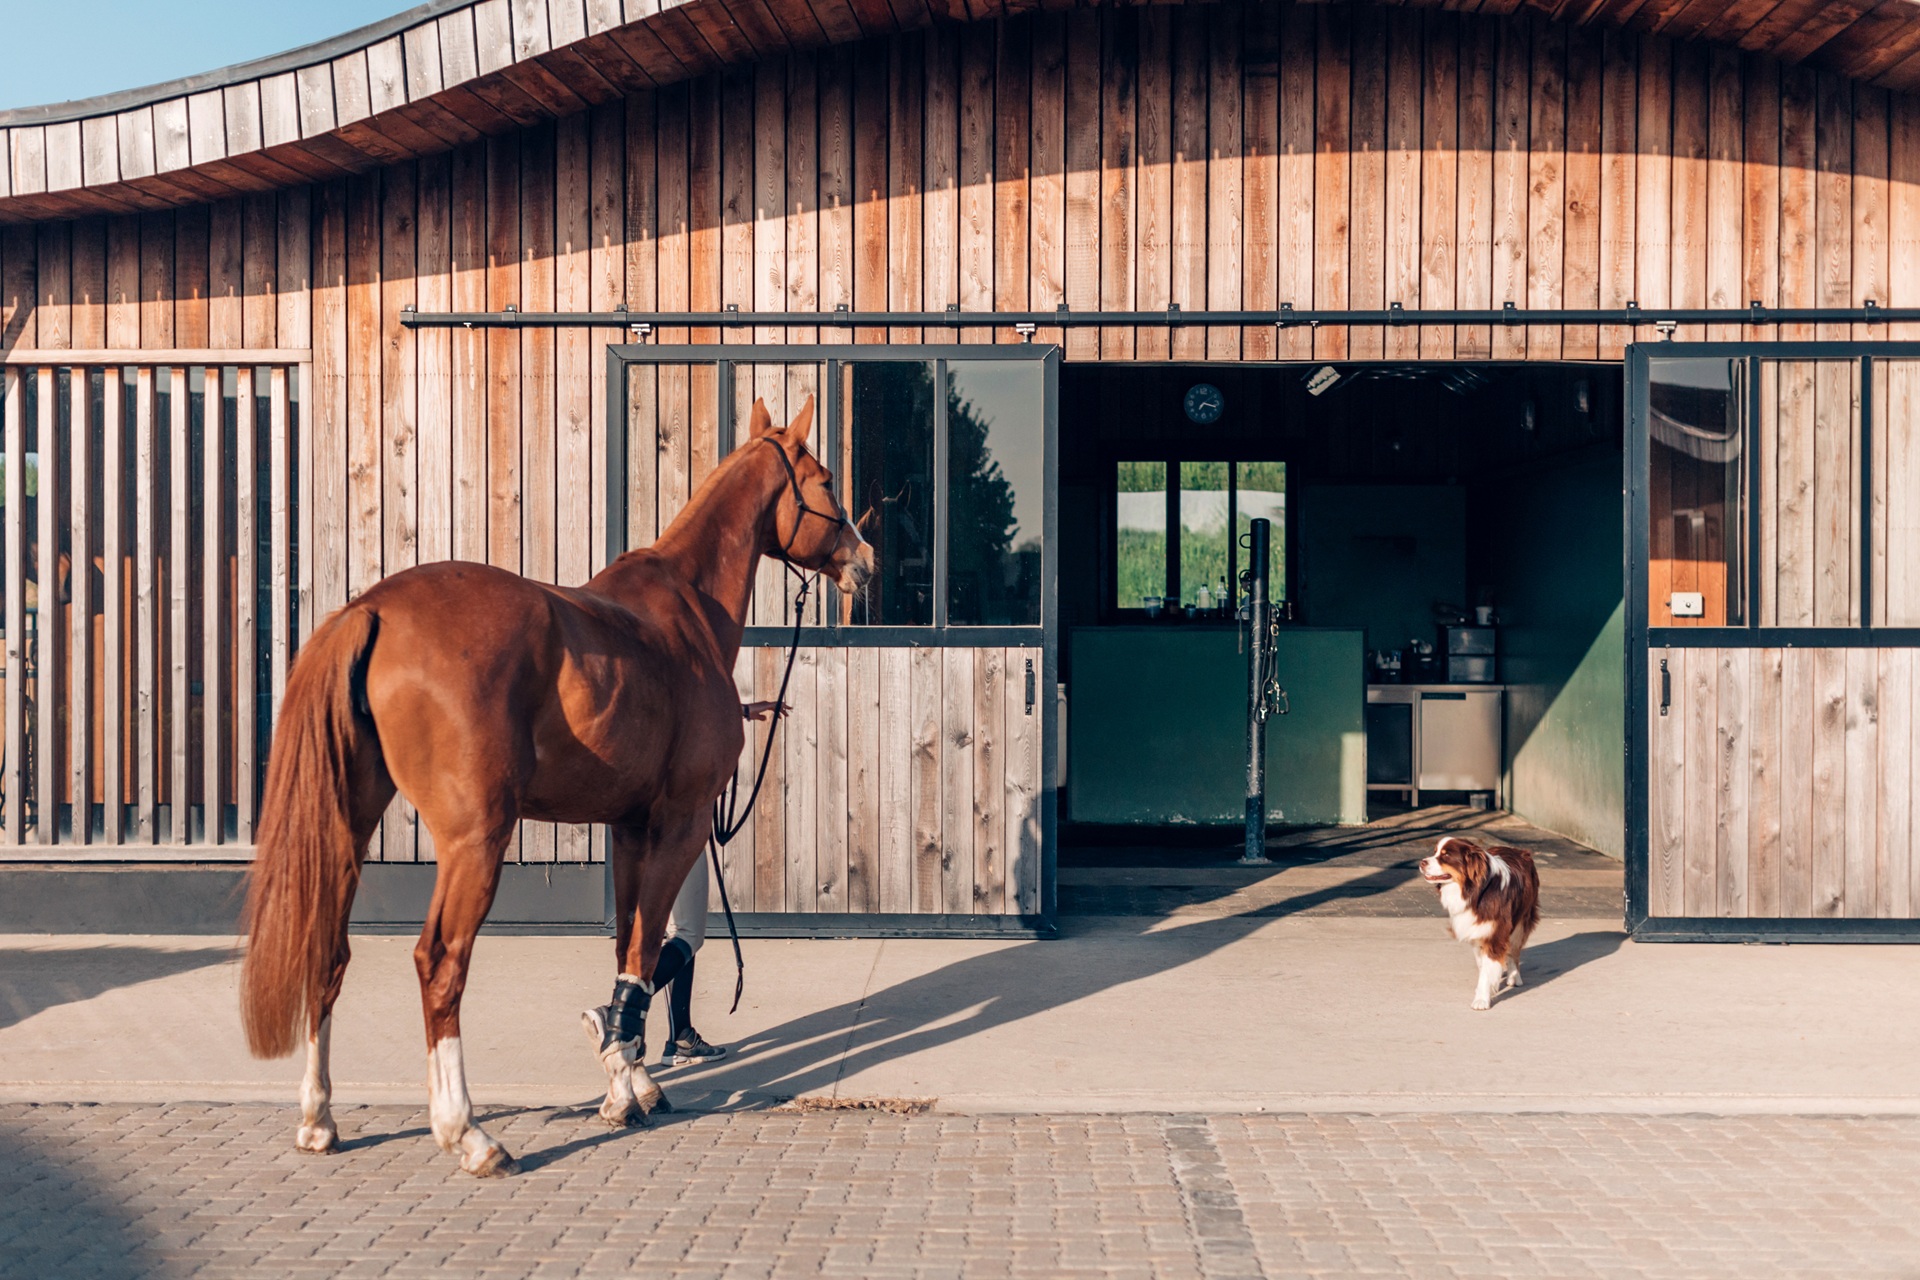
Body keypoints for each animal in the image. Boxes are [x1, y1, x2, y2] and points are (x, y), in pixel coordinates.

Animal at [239, 395, 872, 1176]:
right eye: (826, 481)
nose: (864, 562)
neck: (686, 614)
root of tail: (374, 610)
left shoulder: (630, 828)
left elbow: (630, 948)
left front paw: (629, 1077)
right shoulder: (682, 821)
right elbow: (644, 948)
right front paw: (624, 1086)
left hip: (348, 827)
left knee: (327, 951)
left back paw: (319, 1118)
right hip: (476, 840)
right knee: (440, 963)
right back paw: (467, 1133)